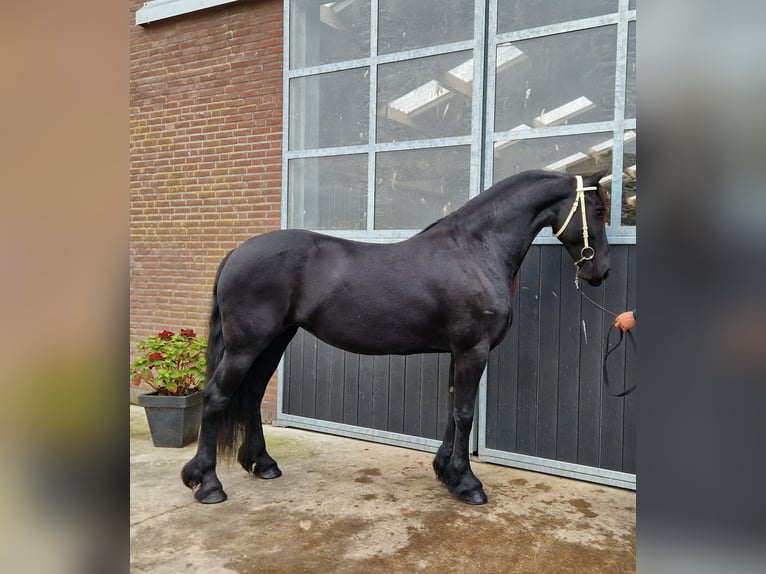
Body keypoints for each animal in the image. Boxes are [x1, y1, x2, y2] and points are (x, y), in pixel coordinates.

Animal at [181, 168, 610, 505]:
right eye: (600, 211)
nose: (600, 272)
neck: (476, 251)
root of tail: (237, 252)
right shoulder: (473, 350)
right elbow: (465, 412)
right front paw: (468, 483)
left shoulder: (458, 351)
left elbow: (453, 408)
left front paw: (446, 472)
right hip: (247, 345)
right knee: (216, 397)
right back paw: (208, 483)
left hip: (274, 341)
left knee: (252, 394)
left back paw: (263, 464)